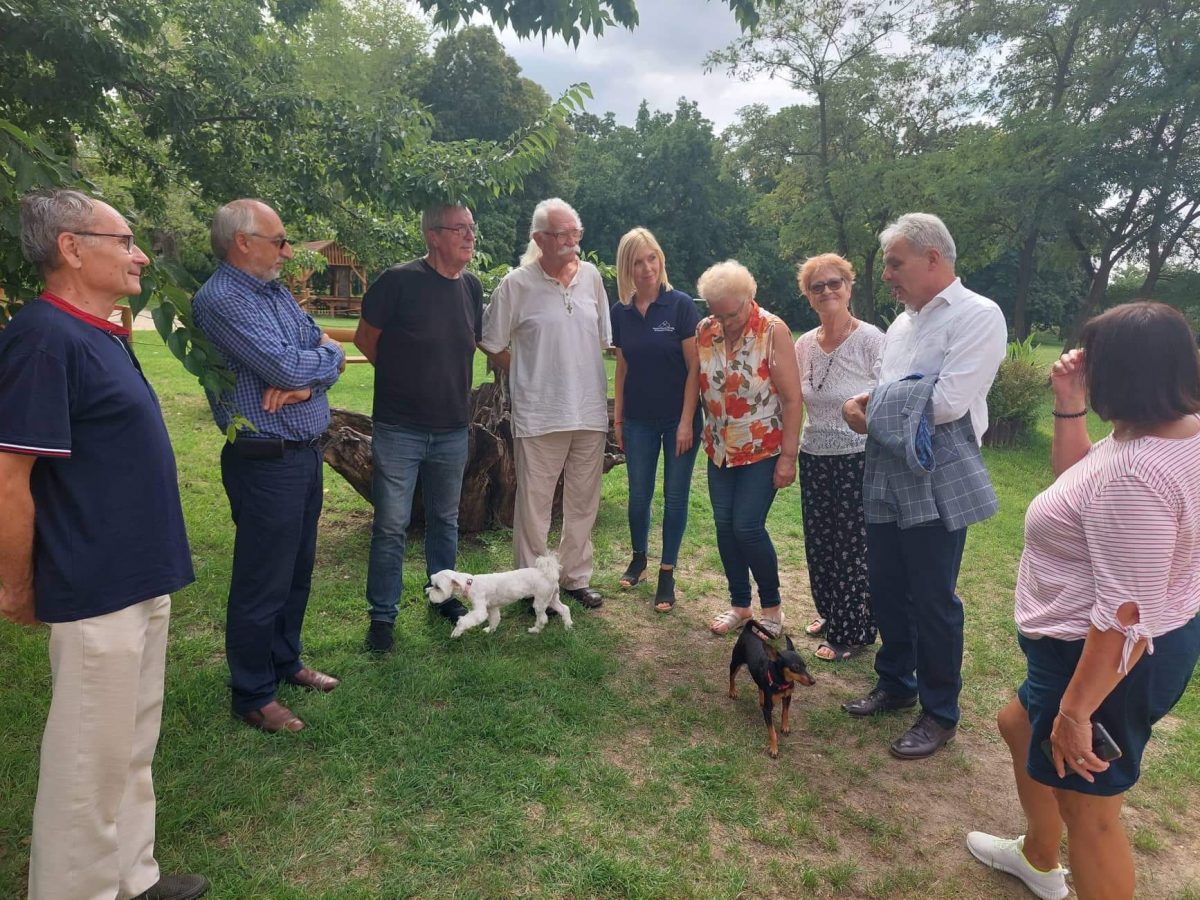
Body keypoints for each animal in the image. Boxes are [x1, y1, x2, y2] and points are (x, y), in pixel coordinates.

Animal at [426, 554, 571, 638]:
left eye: (437, 587)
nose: (427, 592)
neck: (470, 584)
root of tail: (549, 573)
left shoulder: (480, 610)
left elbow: (464, 620)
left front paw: (457, 632)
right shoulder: (492, 607)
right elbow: (494, 619)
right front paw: (490, 631)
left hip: (541, 601)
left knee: (543, 619)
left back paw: (535, 630)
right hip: (552, 599)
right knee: (565, 609)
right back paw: (568, 626)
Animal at [728, 620, 816, 758]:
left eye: (805, 666)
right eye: (795, 667)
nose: (813, 681)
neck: (783, 682)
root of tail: (747, 630)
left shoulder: (788, 696)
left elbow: (785, 713)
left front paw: (785, 727)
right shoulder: (767, 710)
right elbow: (772, 732)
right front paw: (774, 748)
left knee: (760, 686)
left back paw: (761, 699)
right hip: (736, 662)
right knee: (731, 677)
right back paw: (732, 691)